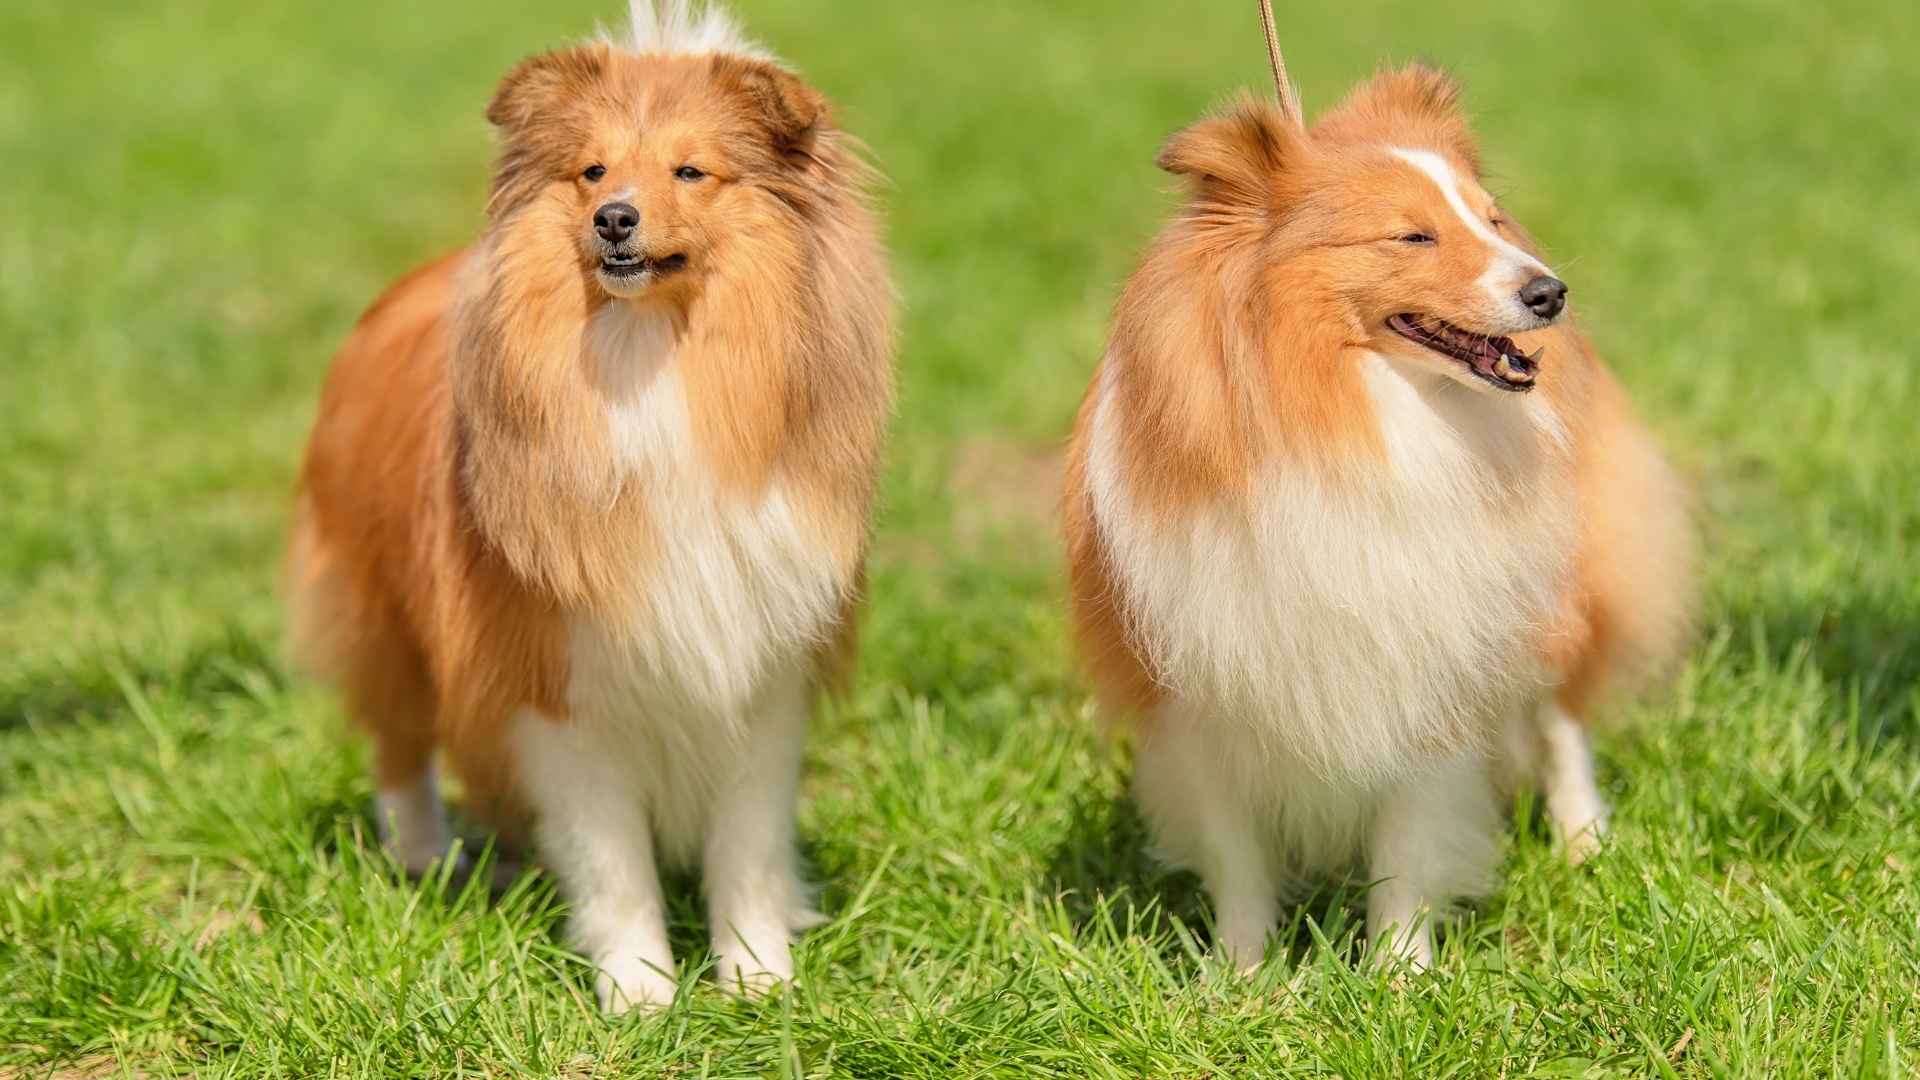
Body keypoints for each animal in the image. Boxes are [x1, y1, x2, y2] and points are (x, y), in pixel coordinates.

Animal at [282, 2, 890, 1006]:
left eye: (691, 170)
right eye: (593, 171)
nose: (614, 219)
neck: (651, 359)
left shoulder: (762, 664)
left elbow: (749, 845)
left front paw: (758, 979)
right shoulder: (559, 682)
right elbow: (611, 859)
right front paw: (639, 991)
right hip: (386, 614)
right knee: (400, 743)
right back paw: (423, 856)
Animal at [1067, 14, 1697, 968]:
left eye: (1489, 219)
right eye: (1413, 238)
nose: (1550, 290)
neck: (1351, 417)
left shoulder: (1430, 658)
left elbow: (1408, 839)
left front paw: (1401, 971)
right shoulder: (1203, 686)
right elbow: (1237, 855)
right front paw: (1241, 977)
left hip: (1557, 595)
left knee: (1561, 719)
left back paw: (1586, 844)